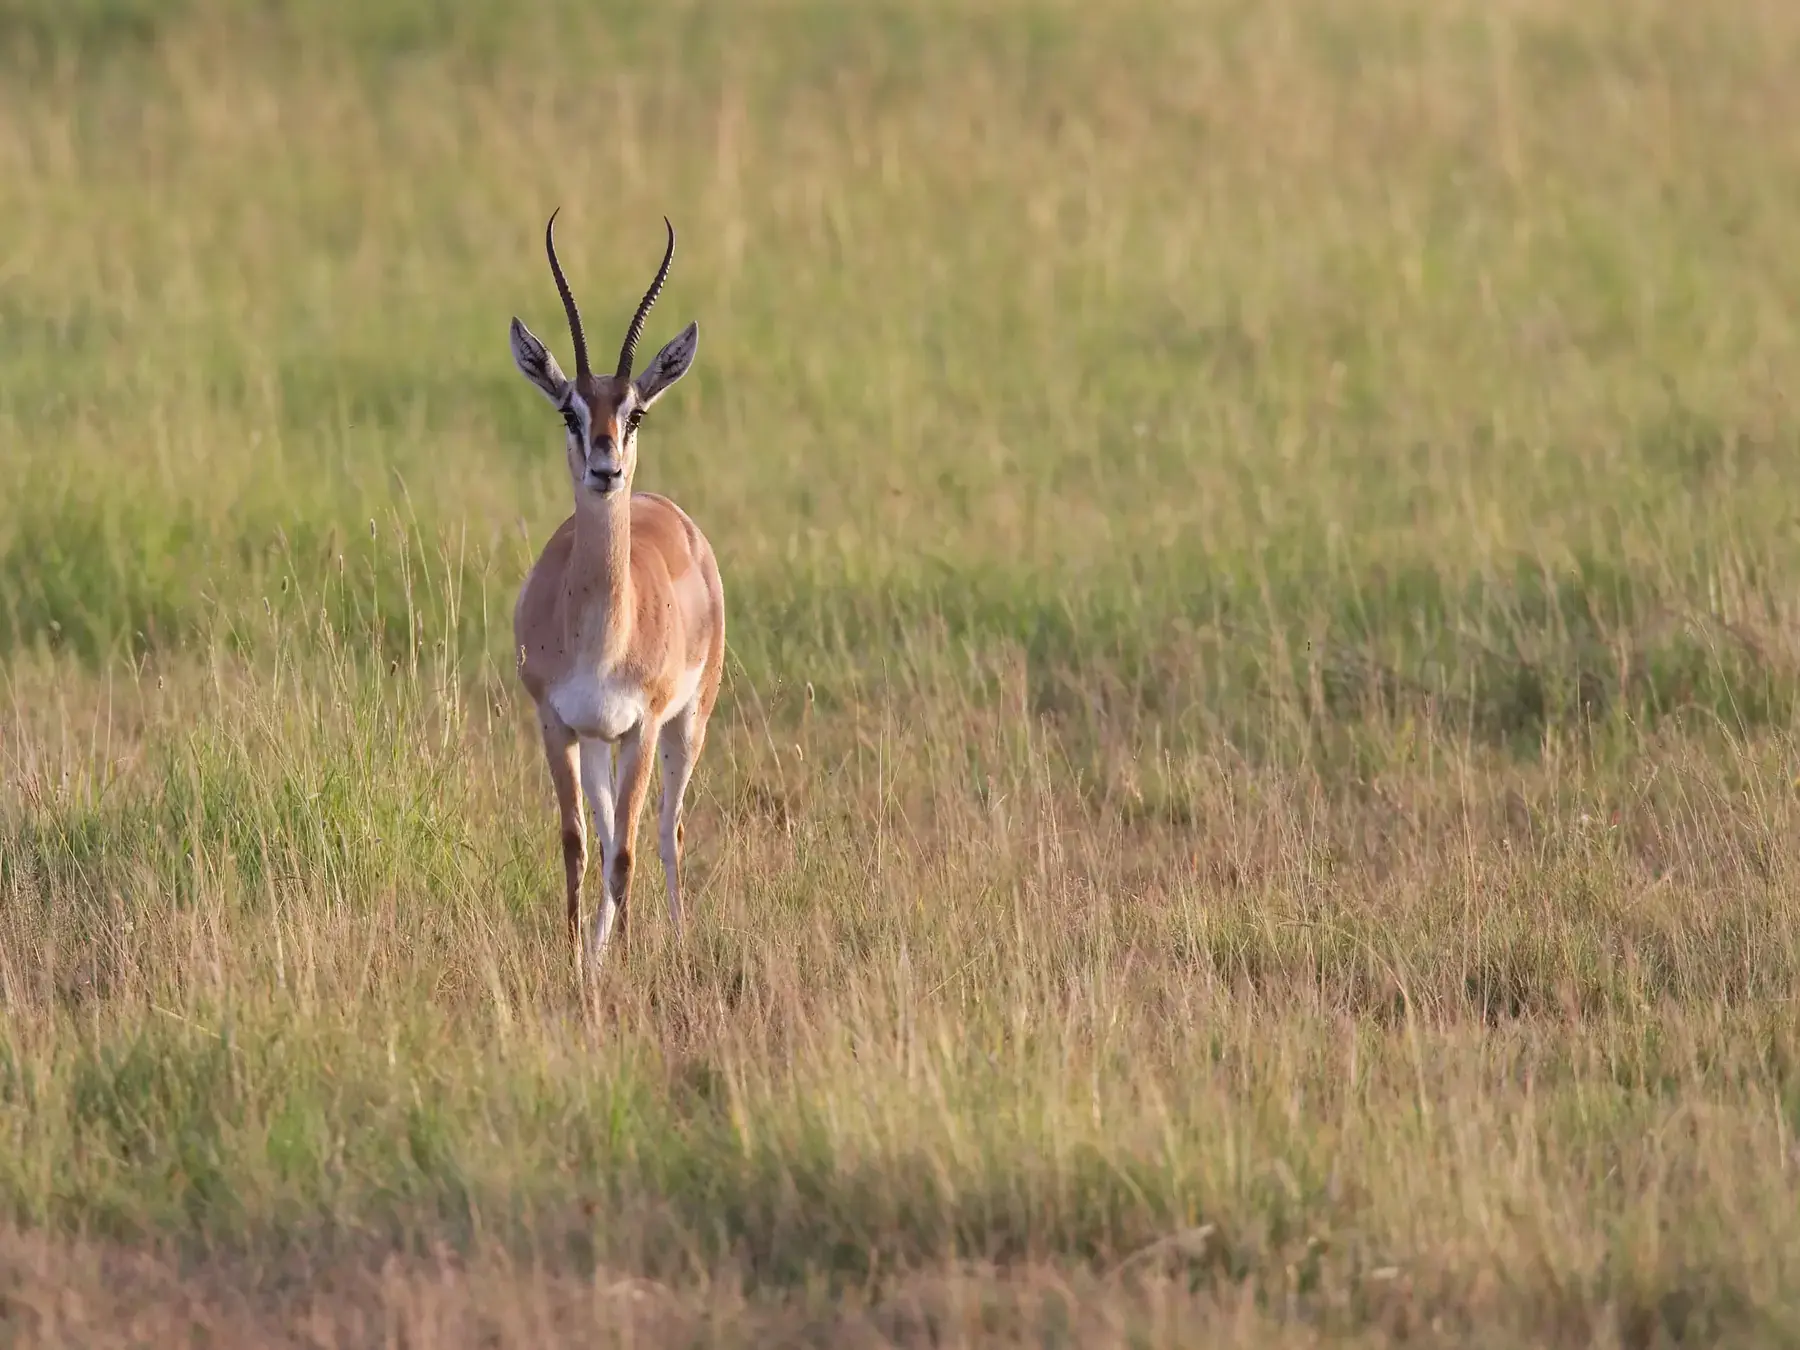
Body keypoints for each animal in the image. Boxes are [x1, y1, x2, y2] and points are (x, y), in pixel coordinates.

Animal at [510, 211, 725, 977]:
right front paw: (579, 955)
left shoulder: (641, 726)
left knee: (667, 829)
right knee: (608, 837)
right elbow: (579, 845)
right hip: (601, 741)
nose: (606, 468)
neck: (600, 635)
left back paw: (677, 937)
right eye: (570, 411)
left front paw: (628, 959)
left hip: (687, 723)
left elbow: (629, 848)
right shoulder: (556, 724)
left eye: (634, 413)